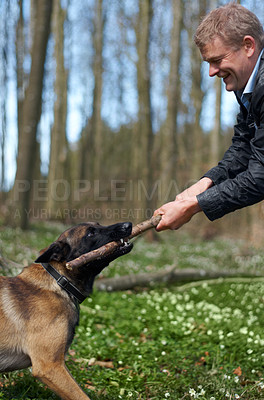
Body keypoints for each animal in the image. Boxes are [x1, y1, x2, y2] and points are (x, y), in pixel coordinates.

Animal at [0, 220, 133, 398]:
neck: (60, 282)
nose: (128, 225)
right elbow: (81, 396)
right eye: (90, 233)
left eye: (98, 224)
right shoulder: (49, 366)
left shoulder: (59, 365)